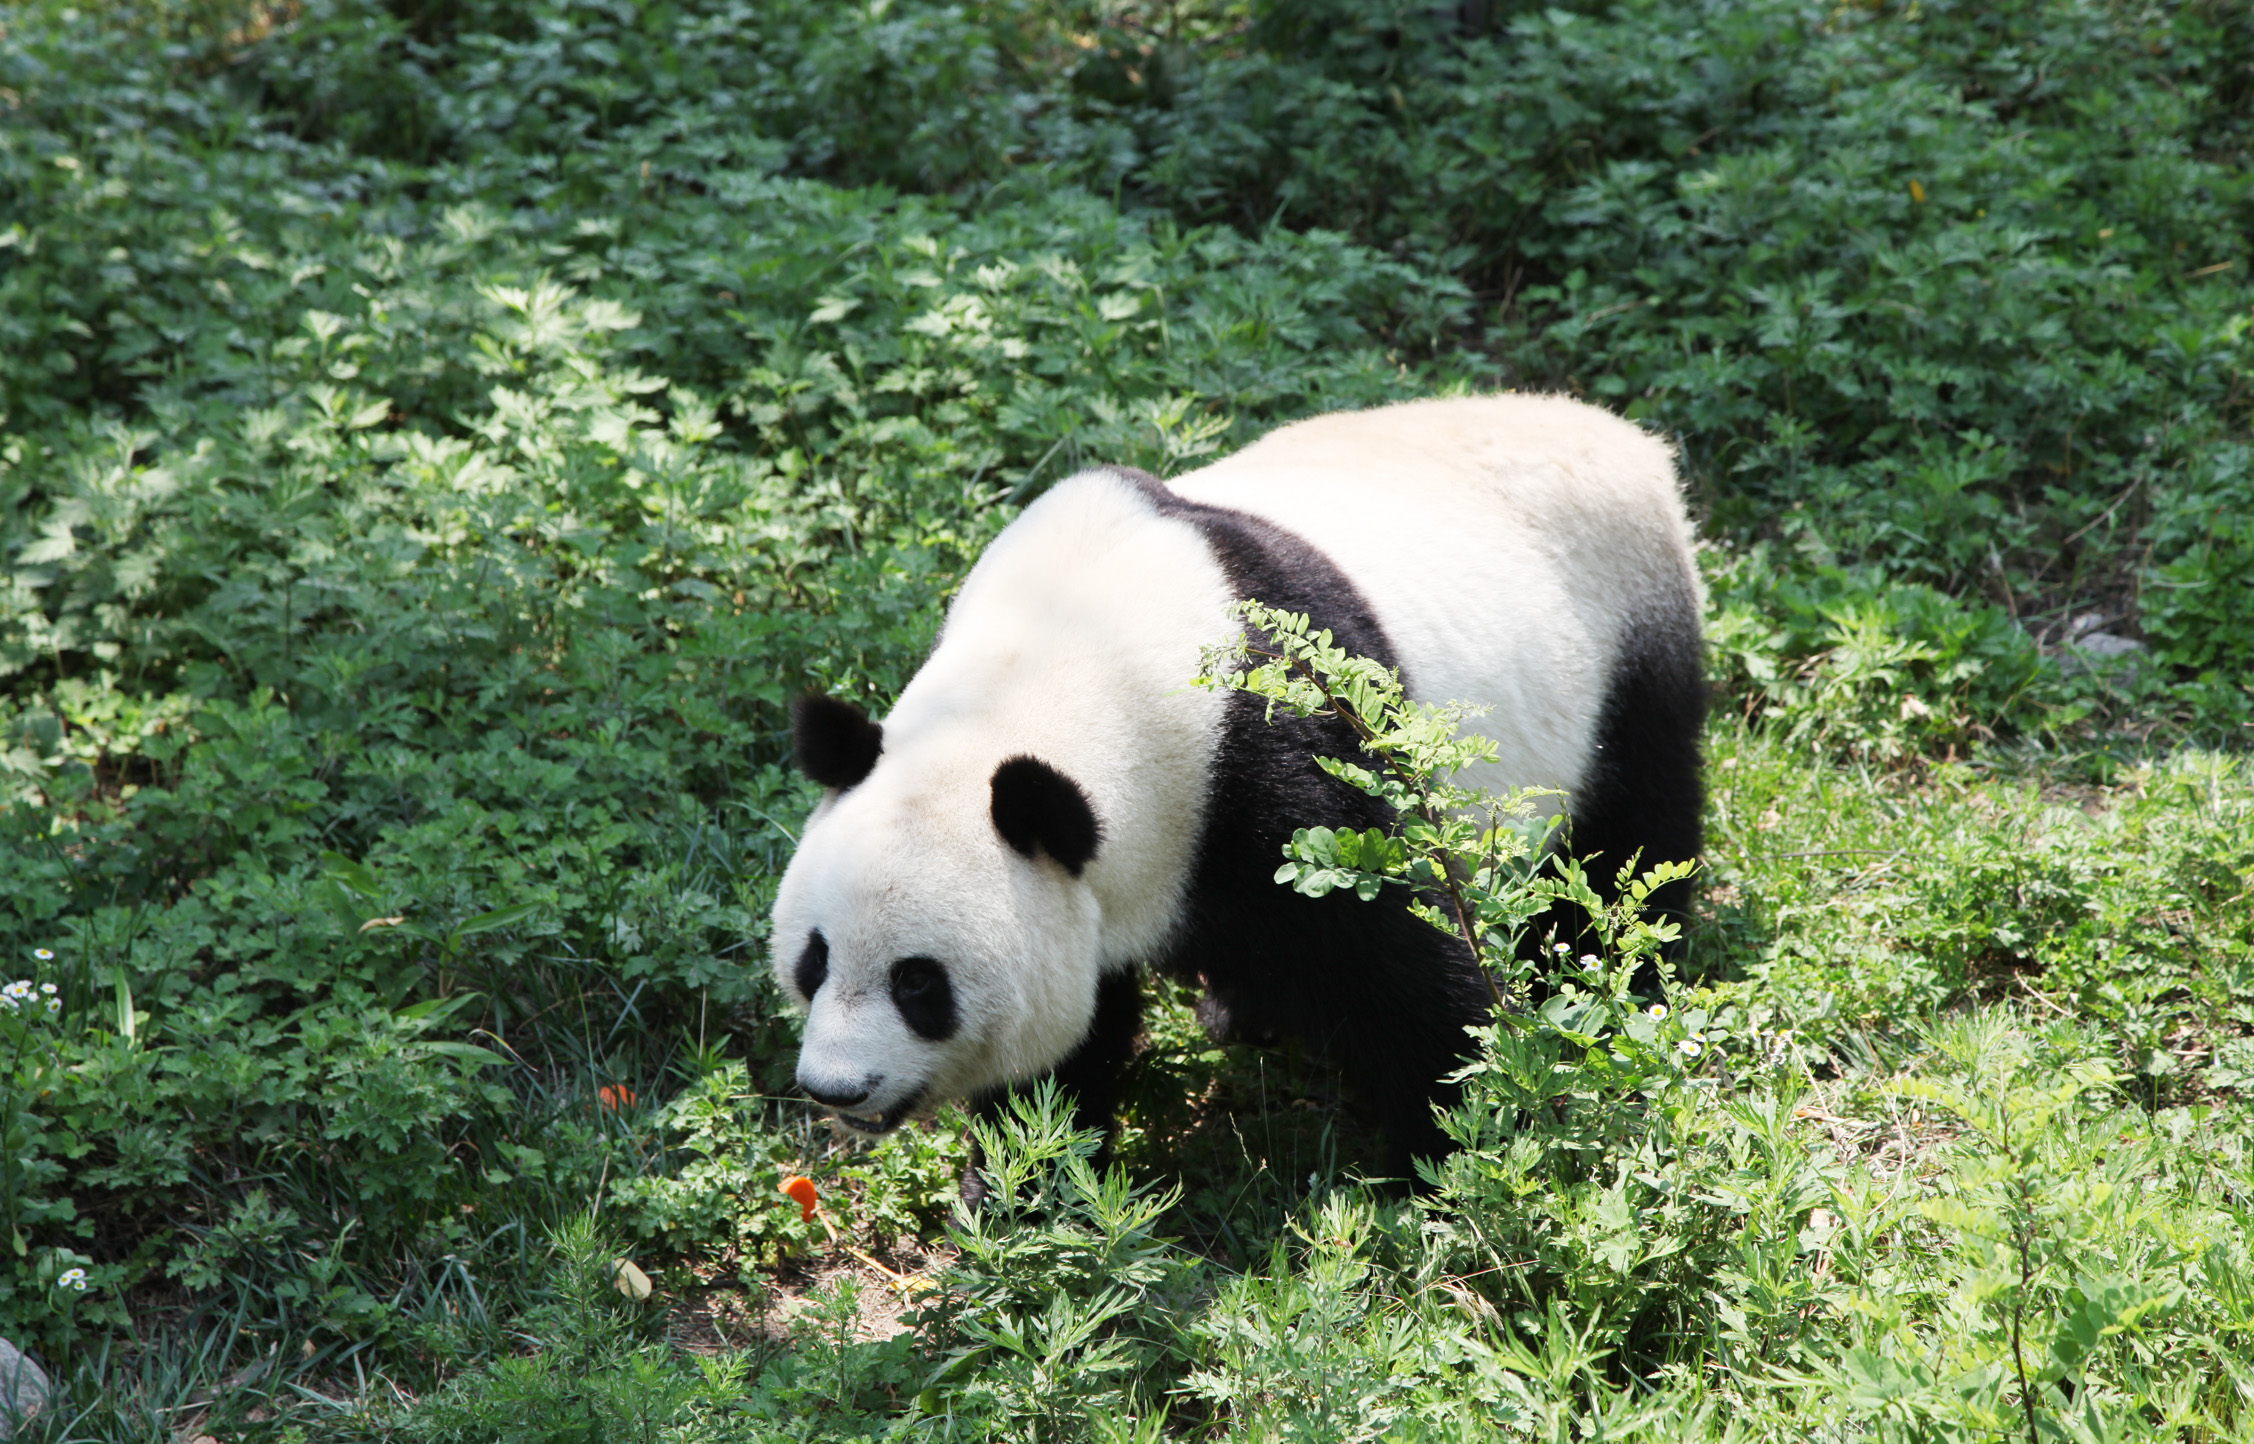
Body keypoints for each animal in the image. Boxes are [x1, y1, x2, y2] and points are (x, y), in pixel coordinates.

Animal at [766, 391, 1695, 1171]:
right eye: (814, 958)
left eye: (919, 983)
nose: (836, 1089)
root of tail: (1626, 438)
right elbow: (1071, 1037)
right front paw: (1026, 1184)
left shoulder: (1286, 768)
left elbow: (1406, 974)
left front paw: (1447, 1158)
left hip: (1623, 653)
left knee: (1626, 840)